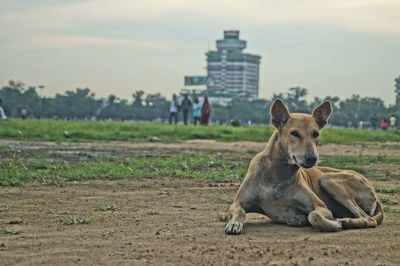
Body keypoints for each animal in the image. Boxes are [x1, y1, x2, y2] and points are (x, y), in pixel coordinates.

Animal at [225, 98, 384, 234]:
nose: (312, 158)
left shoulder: (321, 207)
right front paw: (234, 223)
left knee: (368, 218)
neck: (277, 172)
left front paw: (335, 223)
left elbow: (314, 216)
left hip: (327, 179)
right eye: (294, 133)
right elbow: (239, 210)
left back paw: (346, 221)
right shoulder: (238, 202)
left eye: (316, 134)